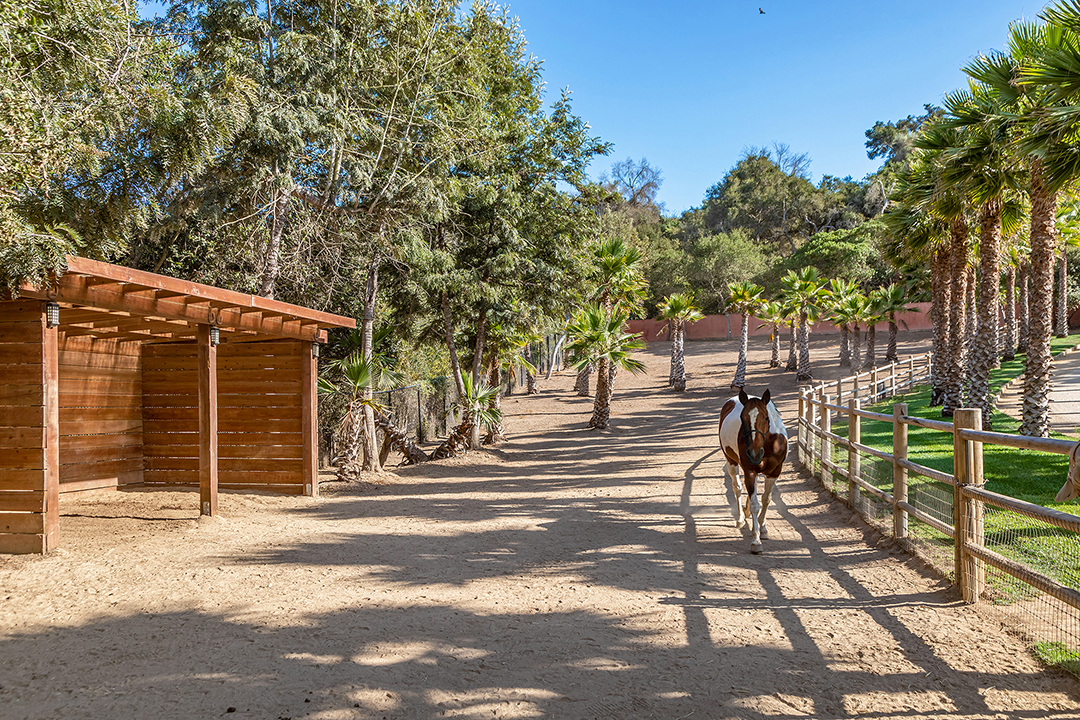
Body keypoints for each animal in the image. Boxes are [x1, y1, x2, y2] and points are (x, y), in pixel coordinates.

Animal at [718, 388, 788, 554]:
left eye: (766, 418)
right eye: (742, 419)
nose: (754, 454)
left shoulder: (775, 472)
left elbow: (766, 499)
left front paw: (763, 529)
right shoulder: (750, 471)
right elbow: (756, 503)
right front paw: (756, 540)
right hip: (731, 462)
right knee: (737, 488)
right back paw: (740, 518)